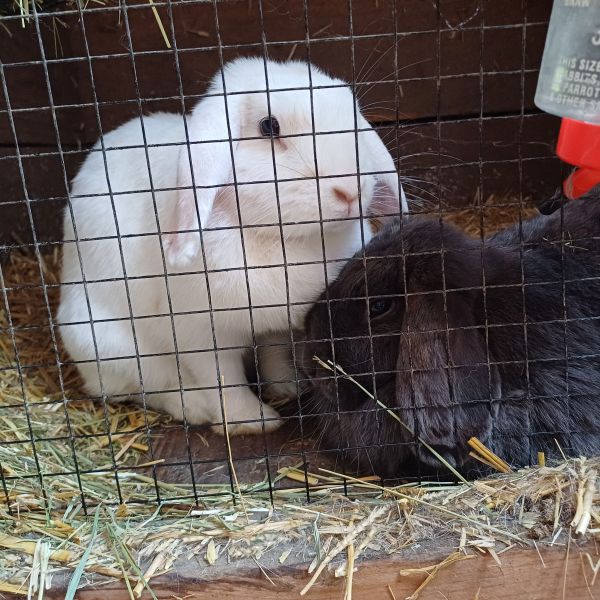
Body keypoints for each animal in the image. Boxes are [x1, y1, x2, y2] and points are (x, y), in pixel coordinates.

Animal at [57, 58, 408, 434]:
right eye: (269, 126)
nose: (350, 191)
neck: (282, 239)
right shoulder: (199, 333)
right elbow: (223, 381)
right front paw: (255, 421)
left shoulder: (277, 324)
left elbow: (273, 350)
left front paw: (287, 385)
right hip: (111, 345)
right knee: (149, 385)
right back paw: (194, 408)